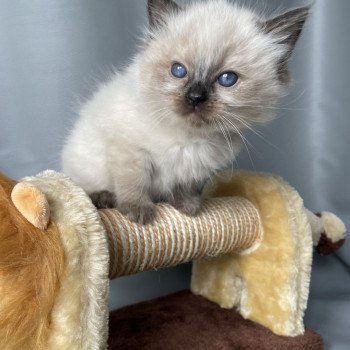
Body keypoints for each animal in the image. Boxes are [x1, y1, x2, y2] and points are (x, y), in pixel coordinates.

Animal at [60, 0, 308, 223]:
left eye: (228, 79)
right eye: (178, 71)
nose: (195, 98)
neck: (189, 137)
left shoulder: (194, 170)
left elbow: (185, 187)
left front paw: (188, 208)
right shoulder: (131, 151)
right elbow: (134, 183)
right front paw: (139, 212)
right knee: (86, 187)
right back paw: (103, 199)